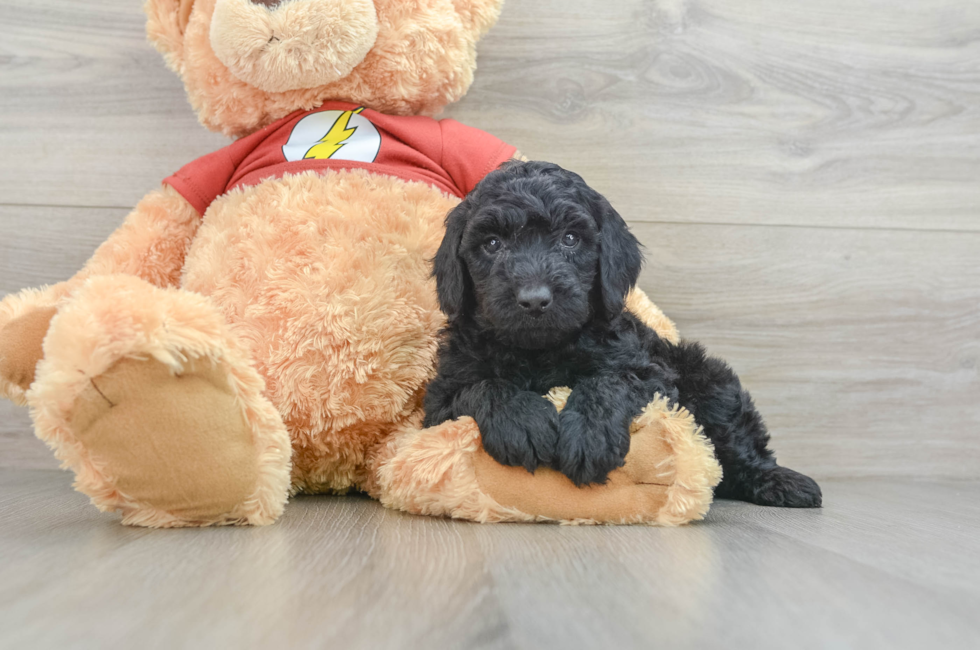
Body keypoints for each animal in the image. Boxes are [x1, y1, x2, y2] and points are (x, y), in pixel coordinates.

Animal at [424, 159, 824, 504]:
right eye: (492, 244)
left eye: (570, 239)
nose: (535, 300)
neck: (540, 352)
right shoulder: (439, 400)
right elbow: (482, 387)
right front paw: (523, 421)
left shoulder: (651, 375)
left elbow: (610, 381)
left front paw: (589, 435)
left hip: (711, 381)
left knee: (738, 443)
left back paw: (782, 483)